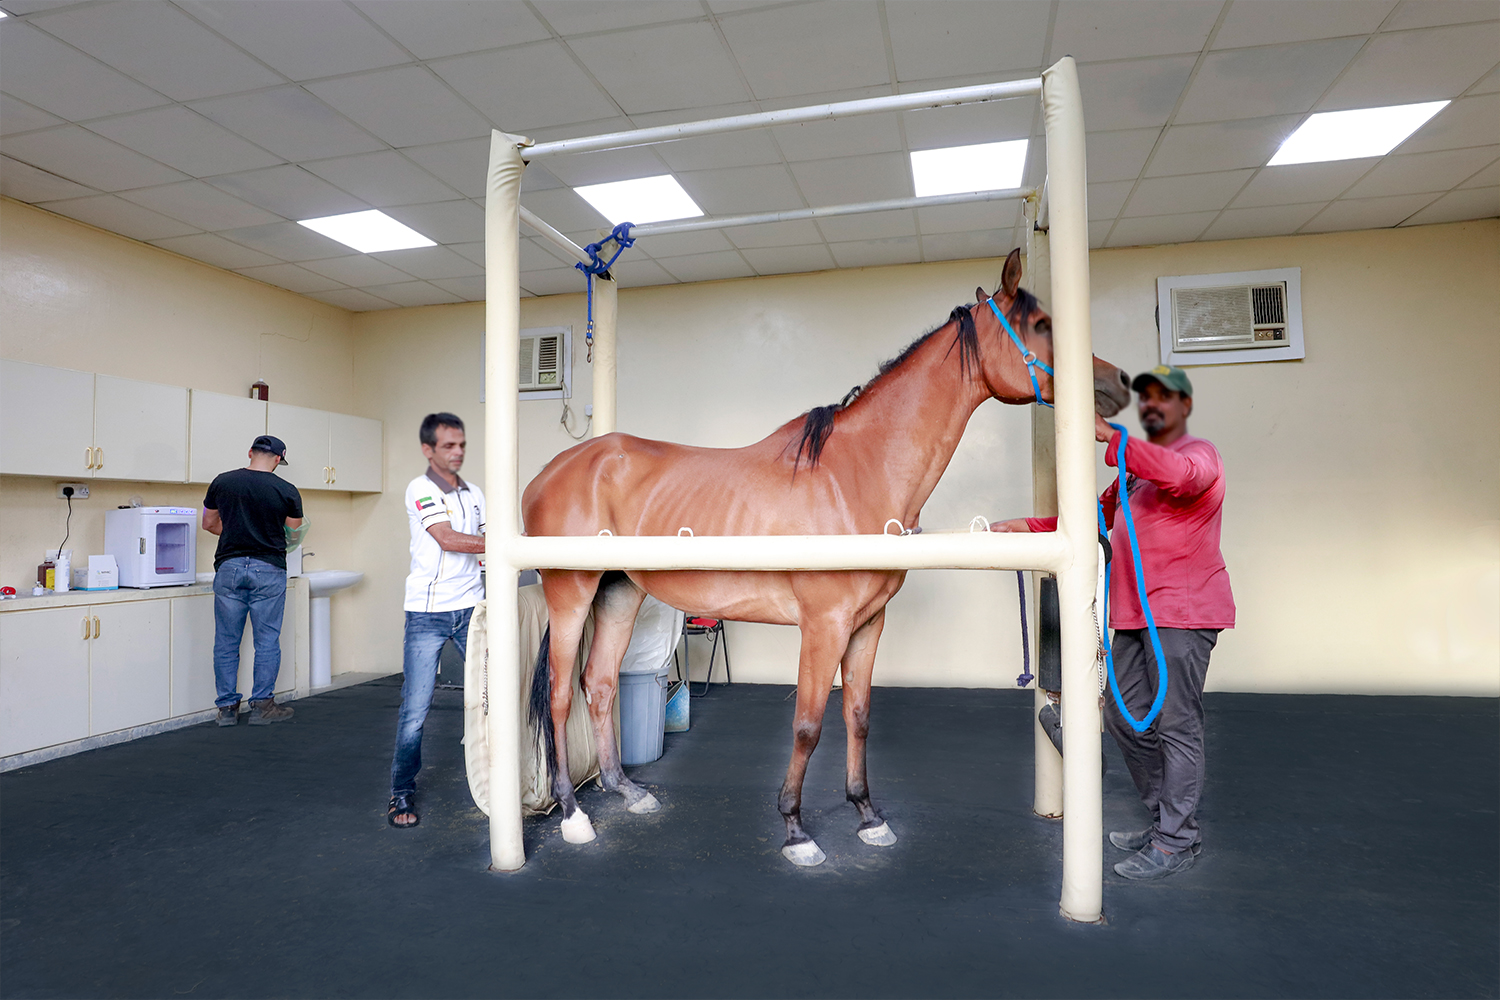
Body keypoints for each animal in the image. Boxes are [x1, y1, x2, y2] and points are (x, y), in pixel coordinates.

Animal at [523, 248, 1132, 865]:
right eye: (1042, 324)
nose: (1120, 382)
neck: (856, 474)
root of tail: (549, 473)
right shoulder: (824, 625)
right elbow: (808, 725)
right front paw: (796, 829)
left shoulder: (867, 624)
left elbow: (857, 717)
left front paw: (867, 815)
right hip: (571, 594)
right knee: (560, 696)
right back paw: (573, 816)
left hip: (619, 592)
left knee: (599, 685)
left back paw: (627, 790)